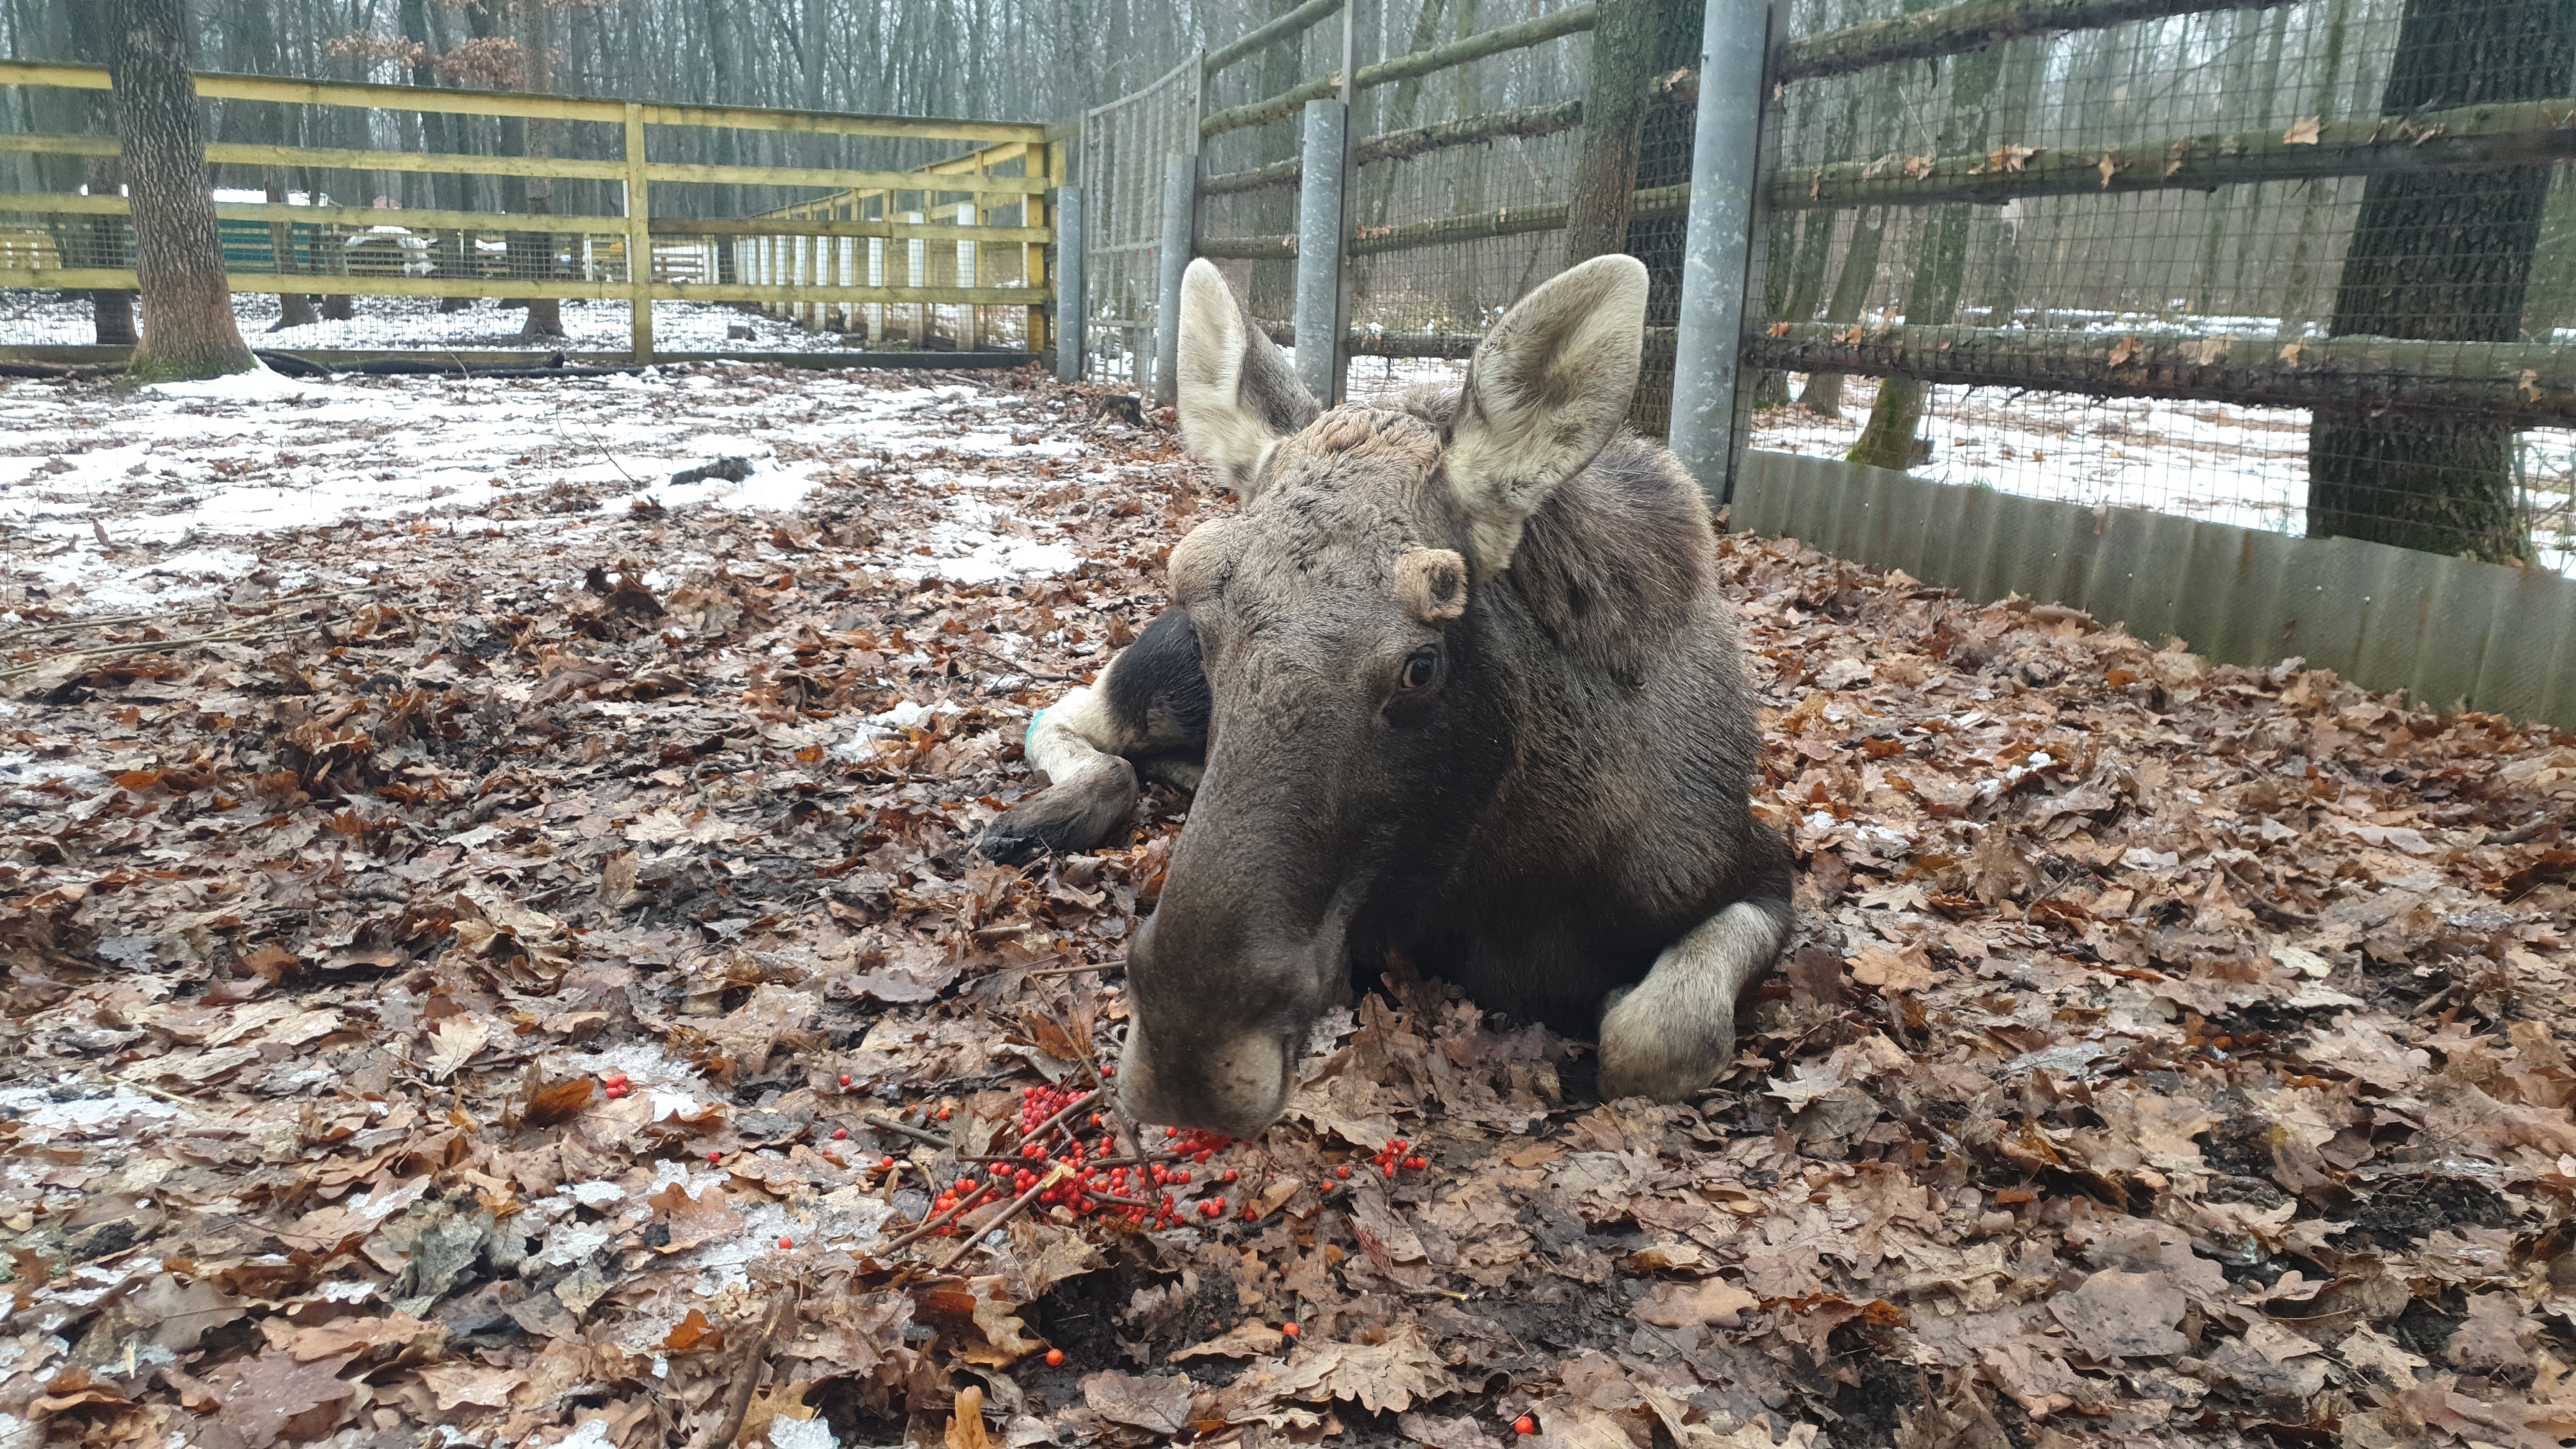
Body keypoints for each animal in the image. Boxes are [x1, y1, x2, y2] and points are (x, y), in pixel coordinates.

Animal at [979, 254, 1793, 1134]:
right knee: (1069, 719)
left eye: (1422, 666)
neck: (1525, 876)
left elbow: (1656, 1038)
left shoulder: (1756, 865)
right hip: (1160, 677)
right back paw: (1039, 818)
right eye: (1207, 622)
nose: (1189, 1054)